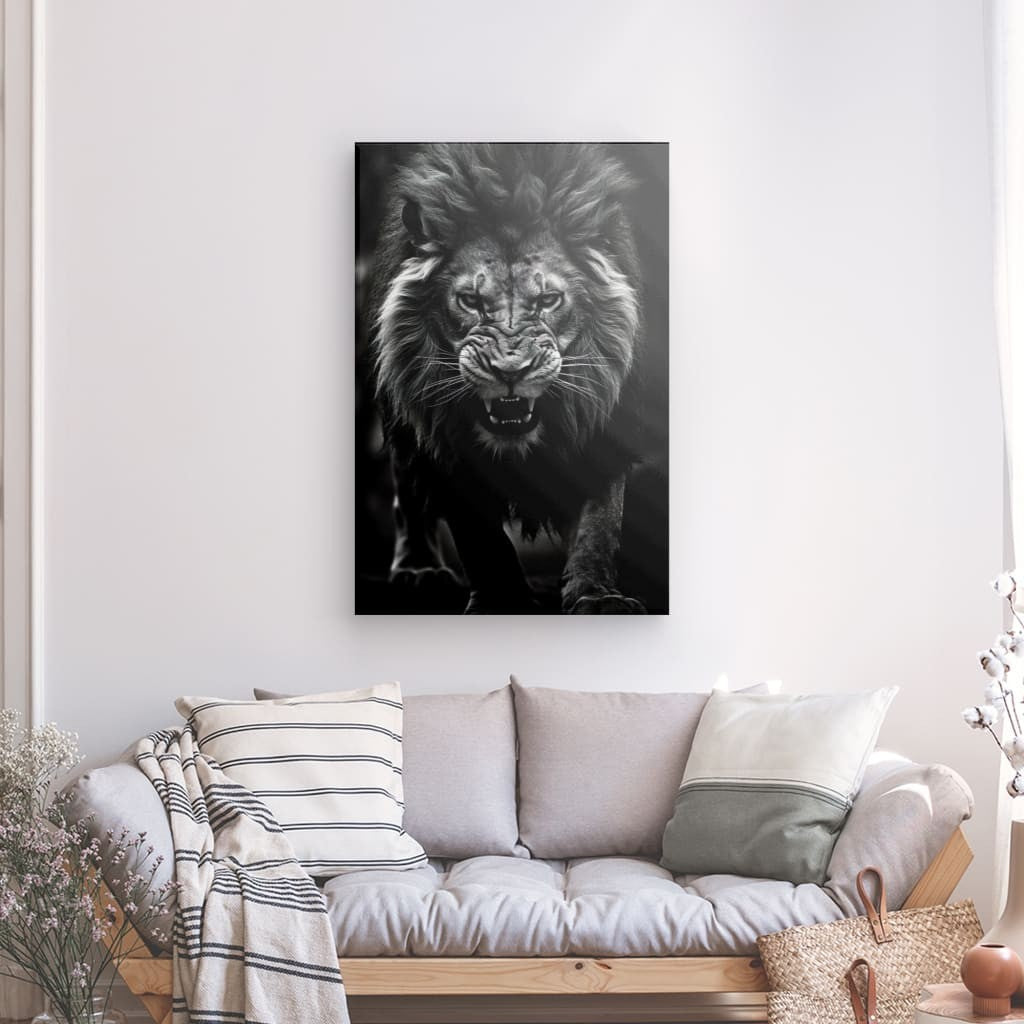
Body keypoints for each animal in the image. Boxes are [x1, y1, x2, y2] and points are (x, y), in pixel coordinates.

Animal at [367, 143, 649, 614]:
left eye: (549, 299)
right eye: (469, 300)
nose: (511, 371)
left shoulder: (605, 414)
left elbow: (600, 521)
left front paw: (597, 596)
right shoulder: (439, 427)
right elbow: (479, 536)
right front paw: (501, 598)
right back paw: (419, 569)